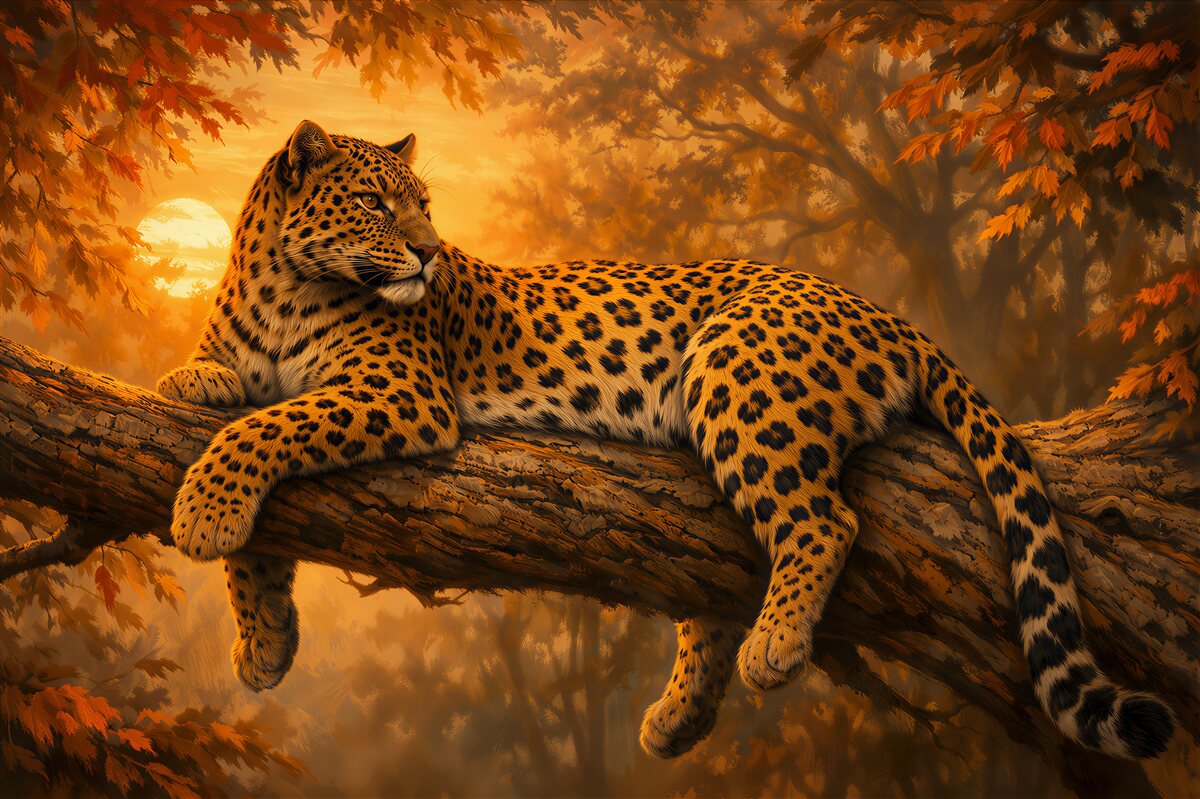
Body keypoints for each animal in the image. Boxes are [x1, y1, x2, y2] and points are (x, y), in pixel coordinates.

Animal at [158, 120, 1175, 761]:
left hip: (733, 372)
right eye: (374, 202)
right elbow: (244, 466)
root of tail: (881, 309)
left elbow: (267, 426)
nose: (430, 253)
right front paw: (264, 639)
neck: (278, 284)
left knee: (823, 521)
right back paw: (679, 720)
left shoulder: (398, 390)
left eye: (425, 205)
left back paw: (774, 648)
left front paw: (205, 511)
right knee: (711, 576)